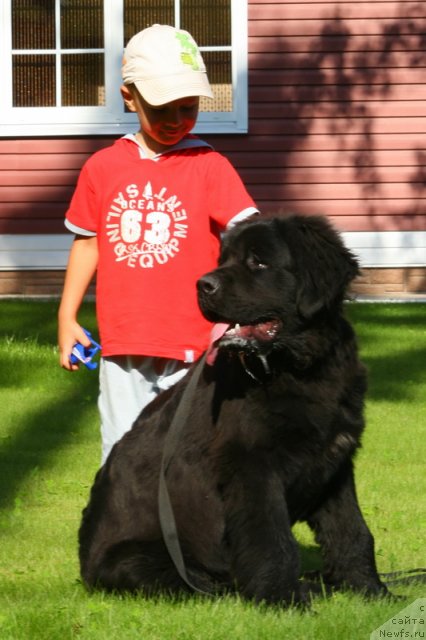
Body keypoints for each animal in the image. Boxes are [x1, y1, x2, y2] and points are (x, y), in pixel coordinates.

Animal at [78, 214, 388, 604]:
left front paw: (371, 590)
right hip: (142, 561)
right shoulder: (252, 466)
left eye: (258, 262)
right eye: (223, 259)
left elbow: (352, 530)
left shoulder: (336, 460)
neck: (300, 369)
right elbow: (273, 540)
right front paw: (282, 598)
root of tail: (85, 568)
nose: (202, 285)